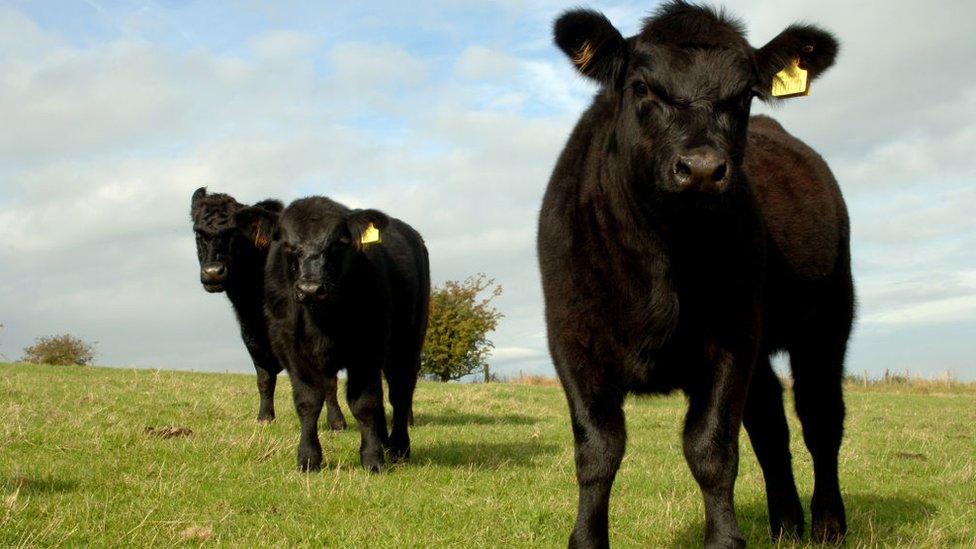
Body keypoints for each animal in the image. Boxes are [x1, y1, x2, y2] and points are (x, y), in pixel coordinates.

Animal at [189, 188, 348, 428]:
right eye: (198, 233)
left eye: (235, 233)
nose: (213, 272)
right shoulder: (252, 339)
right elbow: (264, 379)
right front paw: (265, 417)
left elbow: (328, 381)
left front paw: (336, 423)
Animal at [234, 196, 428, 470]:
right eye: (287, 244)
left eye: (338, 242)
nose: (310, 288)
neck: (322, 321)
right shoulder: (291, 350)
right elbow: (307, 401)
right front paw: (308, 458)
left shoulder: (369, 347)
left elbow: (364, 403)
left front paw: (373, 459)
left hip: (407, 343)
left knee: (400, 392)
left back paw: (398, 448)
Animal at [536, 4, 852, 548]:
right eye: (642, 86)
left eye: (744, 94)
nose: (702, 168)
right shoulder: (571, 339)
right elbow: (598, 450)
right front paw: (586, 538)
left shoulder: (731, 337)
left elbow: (711, 449)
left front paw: (724, 538)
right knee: (769, 421)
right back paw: (786, 523)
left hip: (828, 320)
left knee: (819, 416)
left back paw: (827, 523)